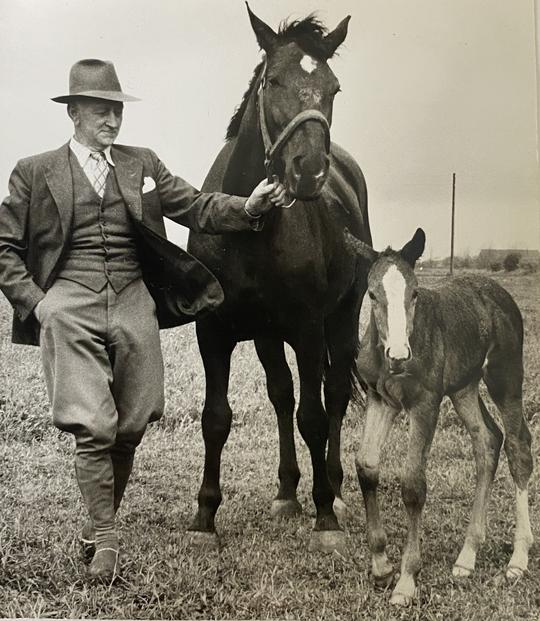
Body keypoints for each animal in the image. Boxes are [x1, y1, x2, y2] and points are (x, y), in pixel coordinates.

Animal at [187, 7, 372, 552]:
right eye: (272, 81)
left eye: (333, 88)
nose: (307, 170)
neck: (249, 231)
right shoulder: (213, 332)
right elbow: (217, 418)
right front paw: (205, 517)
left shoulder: (309, 329)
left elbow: (313, 416)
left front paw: (325, 516)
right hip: (268, 336)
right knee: (282, 395)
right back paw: (288, 492)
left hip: (341, 320)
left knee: (332, 395)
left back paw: (333, 490)